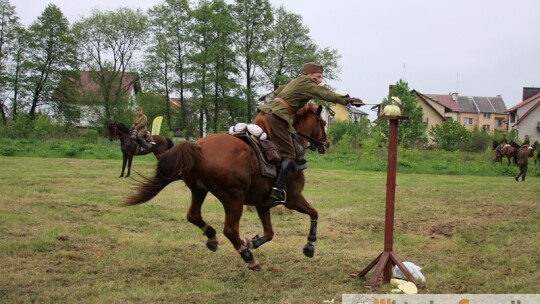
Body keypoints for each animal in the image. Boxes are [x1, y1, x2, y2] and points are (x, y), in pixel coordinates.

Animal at [123, 104, 330, 270]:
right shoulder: (293, 199)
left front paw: (252, 241)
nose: (326, 144)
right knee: (230, 230)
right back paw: (248, 257)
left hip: (199, 190)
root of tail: (198, 147)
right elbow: (314, 213)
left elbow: (269, 233)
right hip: (234, 198)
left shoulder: (263, 205)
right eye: (323, 122)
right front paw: (309, 245)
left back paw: (213, 237)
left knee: (193, 215)